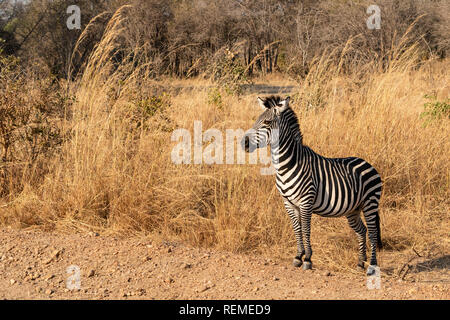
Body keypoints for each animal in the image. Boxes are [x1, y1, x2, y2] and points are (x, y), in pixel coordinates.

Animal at [243, 95, 384, 276]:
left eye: (267, 122)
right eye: (256, 120)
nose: (244, 143)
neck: (288, 164)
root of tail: (368, 163)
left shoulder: (306, 202)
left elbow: (306, 229)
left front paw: (308, 259)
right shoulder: (288, 203)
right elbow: (297, 229)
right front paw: (298, 257)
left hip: (370, 204)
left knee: (373, 233)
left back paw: (372, 266)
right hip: (353, 209)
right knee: (362, 230)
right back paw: (360, 263)